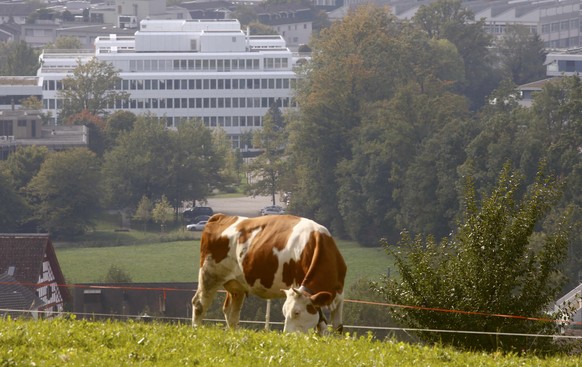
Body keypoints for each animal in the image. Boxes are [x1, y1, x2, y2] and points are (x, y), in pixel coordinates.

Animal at [193, 214, 346, 334]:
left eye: (296, 312)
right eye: (284, 312)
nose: (288, 336)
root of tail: (221, 216)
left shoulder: (339, 295)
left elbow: (337, 327)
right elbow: (321, 324)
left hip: (236, 286)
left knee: (231, 312)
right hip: (209, 275)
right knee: (199, 304)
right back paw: (196, 330)